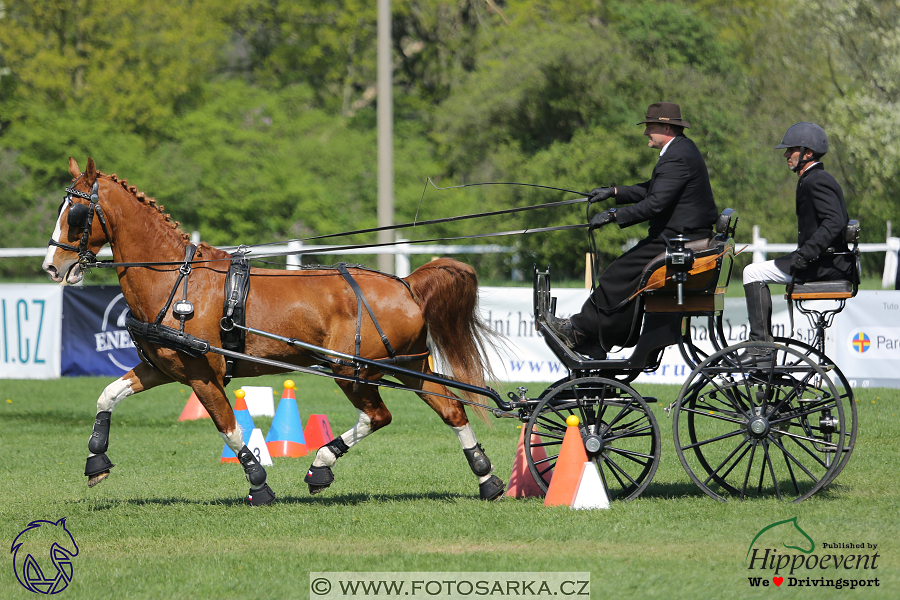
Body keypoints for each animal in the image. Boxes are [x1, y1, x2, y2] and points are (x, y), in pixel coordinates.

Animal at [44, 158, 506, 502]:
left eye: (77, 213)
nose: (52, 266)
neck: (176, 280)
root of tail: (406, 284)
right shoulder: (163, 367)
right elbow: (108, 394)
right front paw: (96, 461)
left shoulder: (201, 373)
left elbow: (229, 427)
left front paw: (258, 483)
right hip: (406, 365)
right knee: (449, 408)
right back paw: (486, 478)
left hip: (352, 369)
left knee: (379, 415)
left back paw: (321, 466)